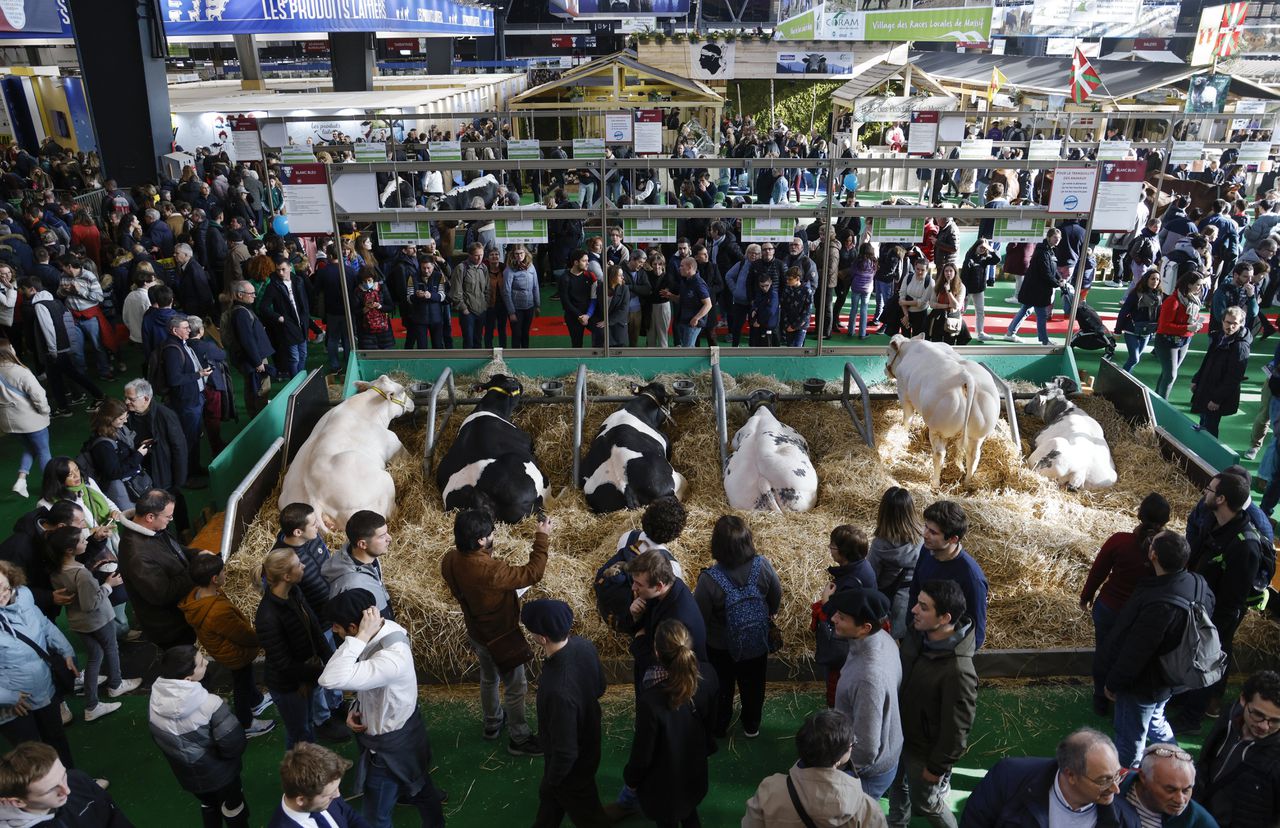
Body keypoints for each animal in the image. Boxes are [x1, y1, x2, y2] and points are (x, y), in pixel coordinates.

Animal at [279, 373, 414, 532]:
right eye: (402, 390)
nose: (412, 403)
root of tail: (313, 497)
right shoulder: (395, 445)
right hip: (384, 484)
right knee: (390, 513)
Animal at [890, 332, 998, 486]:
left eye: (888, 353)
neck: (909, 348)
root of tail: (965, 377)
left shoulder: (903, 392)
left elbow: (907, 418)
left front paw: (902, 432)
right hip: (978, 434)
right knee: (974, 455)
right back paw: (967, 482)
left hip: (938, 431)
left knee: (939, 454)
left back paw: (935, 482)